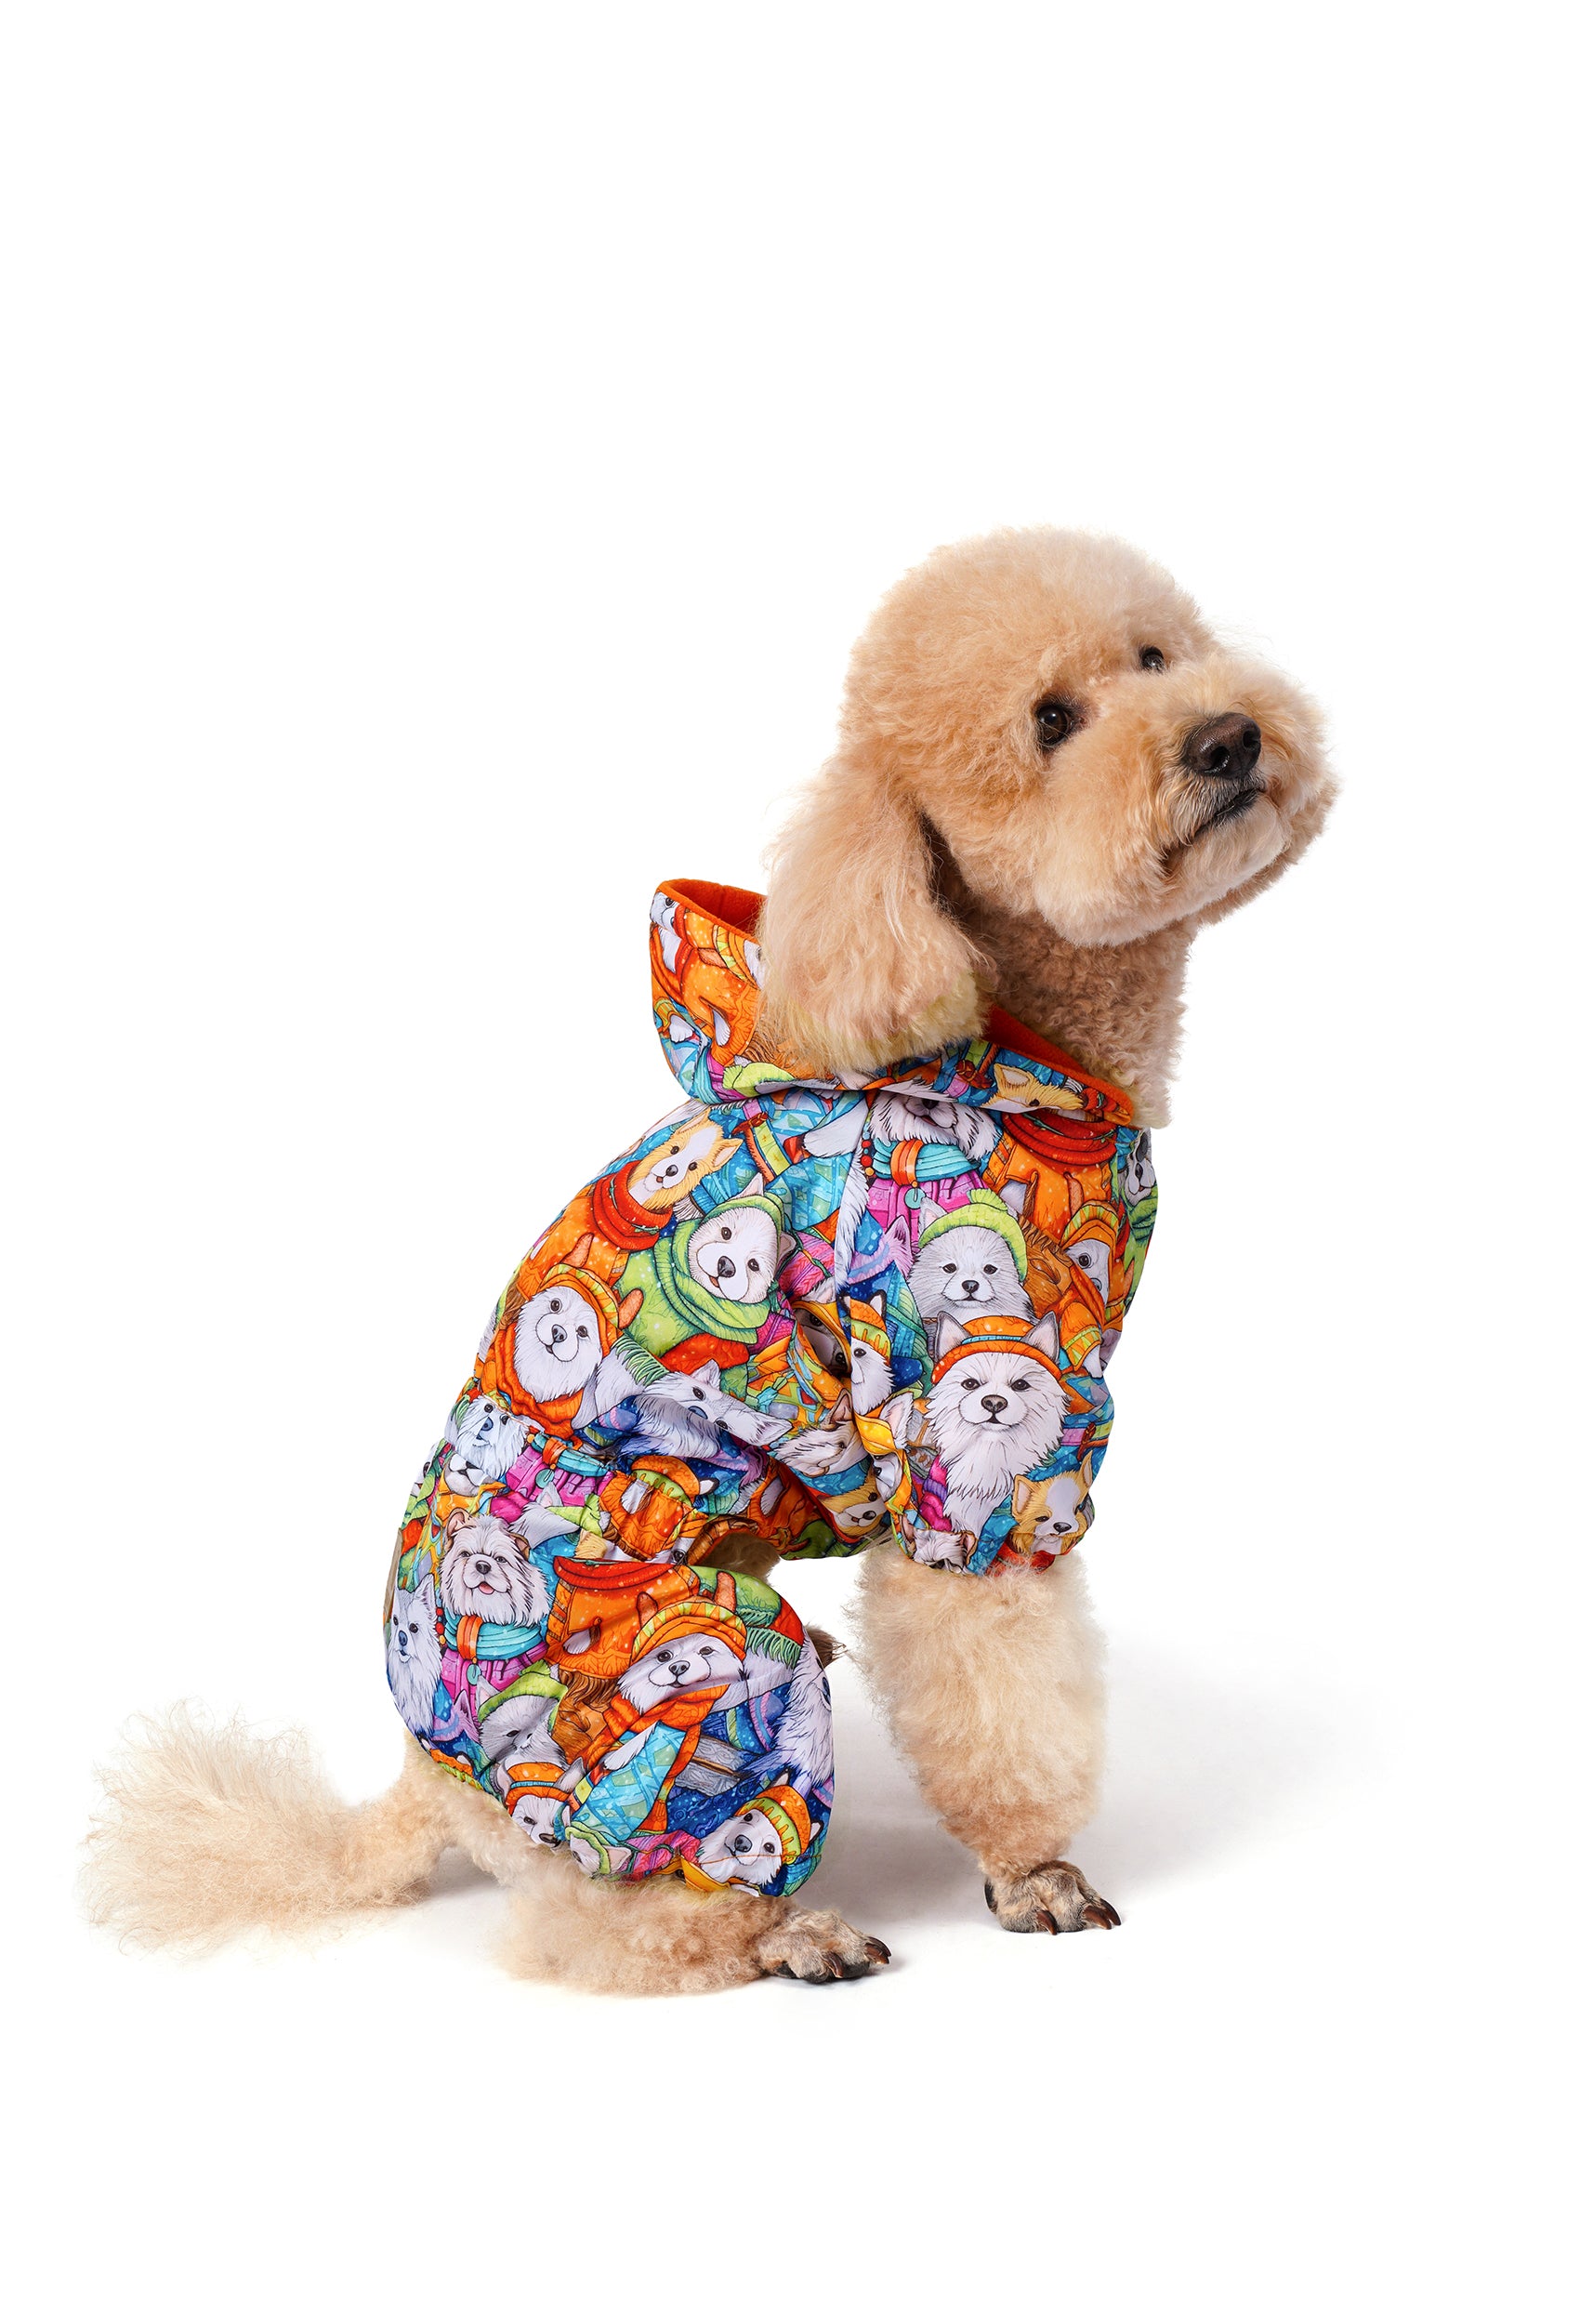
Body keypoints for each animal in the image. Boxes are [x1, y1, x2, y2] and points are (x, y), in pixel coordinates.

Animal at [85, 526, 1333, 1990]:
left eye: (1156, 655)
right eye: (1050, 721)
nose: (1226, 737)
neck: (998, 1035)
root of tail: (419, 1783)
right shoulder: (977, 1423)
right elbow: (1003, 1687)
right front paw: (1033, 1870)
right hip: (709, 1663)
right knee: (608, 1922)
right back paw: (788, 1929)